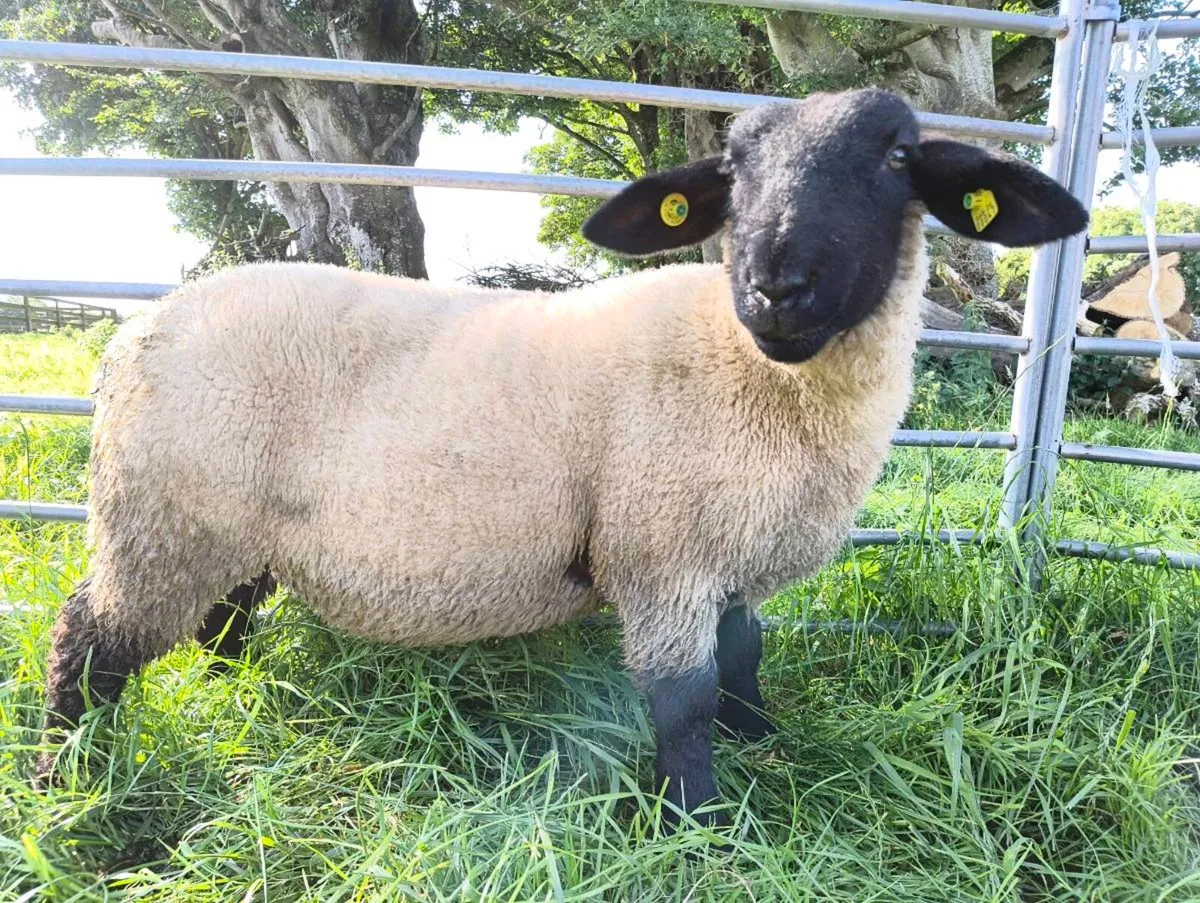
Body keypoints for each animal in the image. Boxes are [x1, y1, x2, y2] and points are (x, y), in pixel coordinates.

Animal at [35, 88, 1087, 827]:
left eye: (899, 155)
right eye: (732, 169)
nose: (775, 287)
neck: (748, 373)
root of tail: (127, 340)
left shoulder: (729, 551)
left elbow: (744, 659)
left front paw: (767, 743)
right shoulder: (661, 553)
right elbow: (683, 699)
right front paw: (704, 823)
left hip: (224, 529)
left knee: (220, 620)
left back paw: (241, 695)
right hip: (161, 518)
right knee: (89, 639)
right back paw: (68, 774)